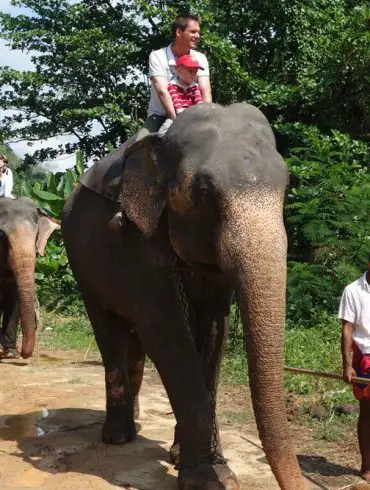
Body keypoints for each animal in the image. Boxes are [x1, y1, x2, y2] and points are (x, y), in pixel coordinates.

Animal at [61, 104, 306, 490]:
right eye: (204, 191)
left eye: (286, 184)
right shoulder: (139, 240)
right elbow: (166, 333)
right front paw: (209, 479)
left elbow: (215, 332)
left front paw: (190, 459)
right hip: (79, 257)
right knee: (108, 330)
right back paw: (118, 436)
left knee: (132, 339)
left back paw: (136, 420)